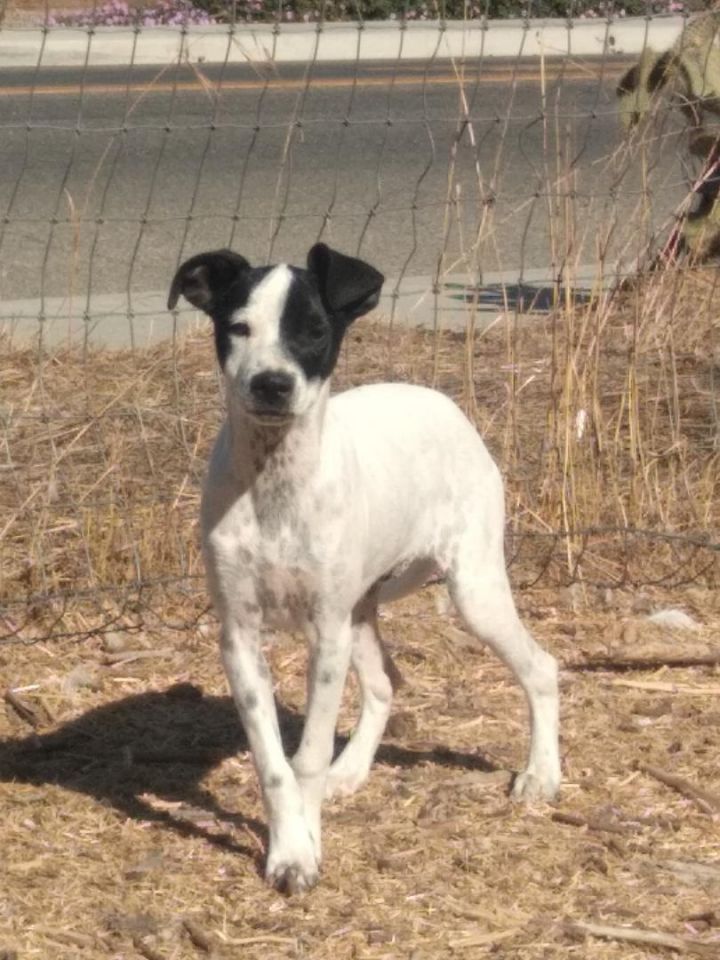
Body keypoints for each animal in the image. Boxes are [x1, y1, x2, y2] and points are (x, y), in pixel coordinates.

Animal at [169, 244, 564, 896]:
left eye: (314, 332)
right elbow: (273, 763)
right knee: (385, 683)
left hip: (471, 590)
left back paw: (541, 775)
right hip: (359, 609)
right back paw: (349, 770)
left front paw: (305, 848)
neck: (276, 486)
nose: (272, 384)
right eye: (238, 327)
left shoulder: (323, 634)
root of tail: (440, 399)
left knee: (541, 667)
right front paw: (290, 846)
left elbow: (303, 757)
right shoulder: (240, 636)